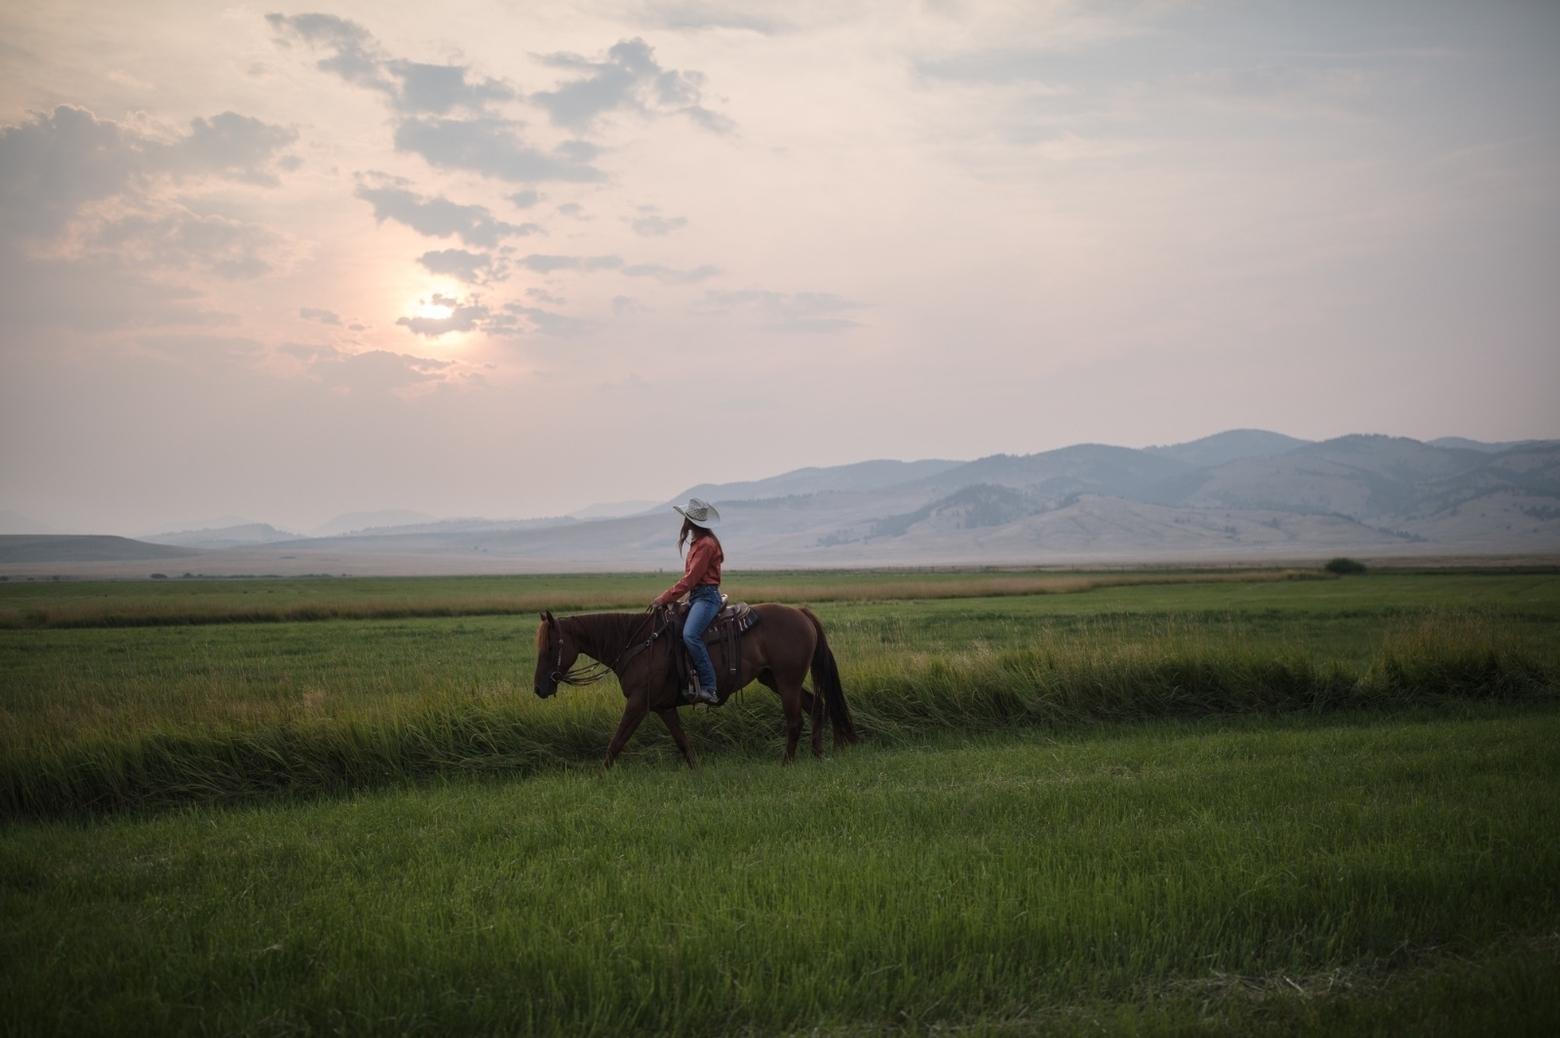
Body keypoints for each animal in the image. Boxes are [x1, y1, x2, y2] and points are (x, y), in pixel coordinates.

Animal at [533, 602, 854, 764]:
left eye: (549, 647)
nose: (539, 688)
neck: (638, 643)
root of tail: (801, 613)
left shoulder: (637, 703)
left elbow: (617, 741)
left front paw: (600, 775)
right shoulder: (661, 707)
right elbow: (682, 741)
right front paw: (696, 769)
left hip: (787, 681)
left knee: (795, 720)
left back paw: (787, 761)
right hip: (773, 679)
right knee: (817, 705)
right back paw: (818, 753)